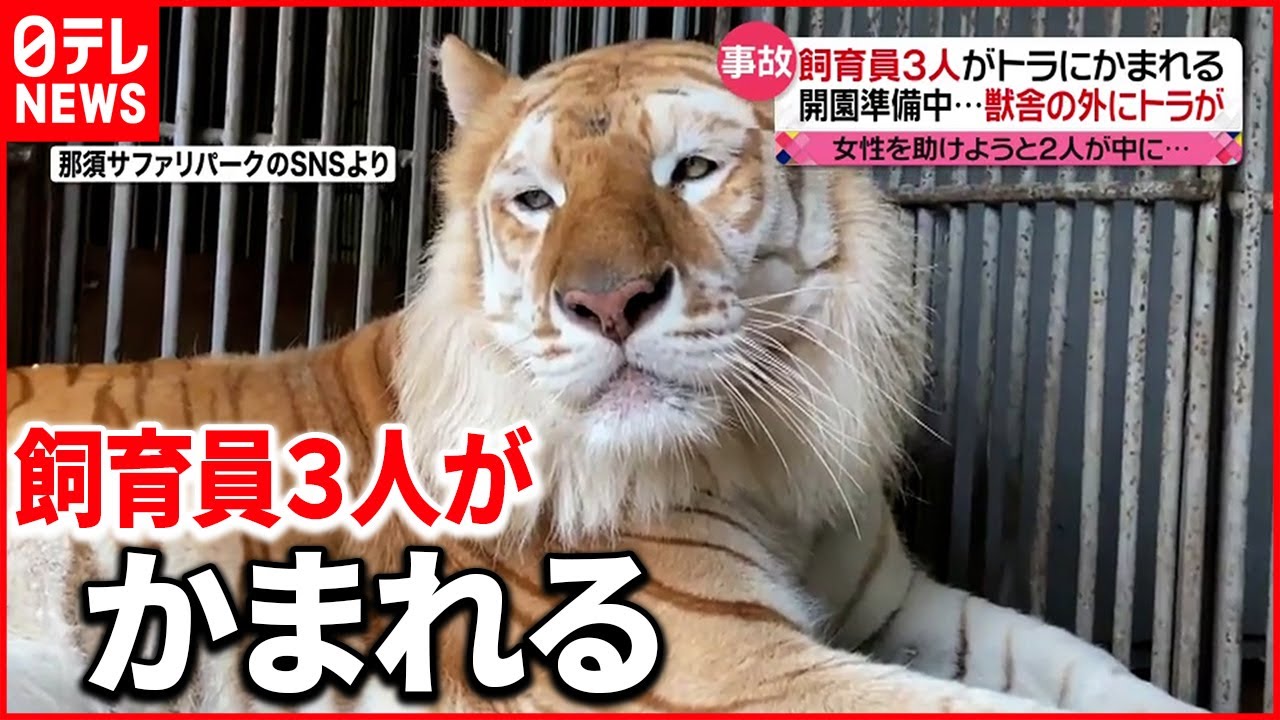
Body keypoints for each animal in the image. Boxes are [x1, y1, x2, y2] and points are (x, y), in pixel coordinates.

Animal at [6, 36, 1205, 714]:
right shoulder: (736, 665)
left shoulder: (894, 604)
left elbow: (1085, 669)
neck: (760, 458)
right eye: (535, 200)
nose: (606, 302)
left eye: (693, 170)